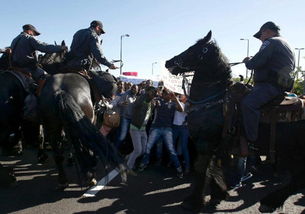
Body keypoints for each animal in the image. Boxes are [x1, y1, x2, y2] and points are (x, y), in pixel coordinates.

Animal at [165, 31, 304, 212]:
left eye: (193, 49)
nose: (169, 62)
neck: (213, 100)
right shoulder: (218, 147)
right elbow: (213, 169)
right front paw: (218, 194)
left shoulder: (204, 143)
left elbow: (202, 170)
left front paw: (193, 202)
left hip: (293, 153)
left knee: (298, 179)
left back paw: (269, 201)